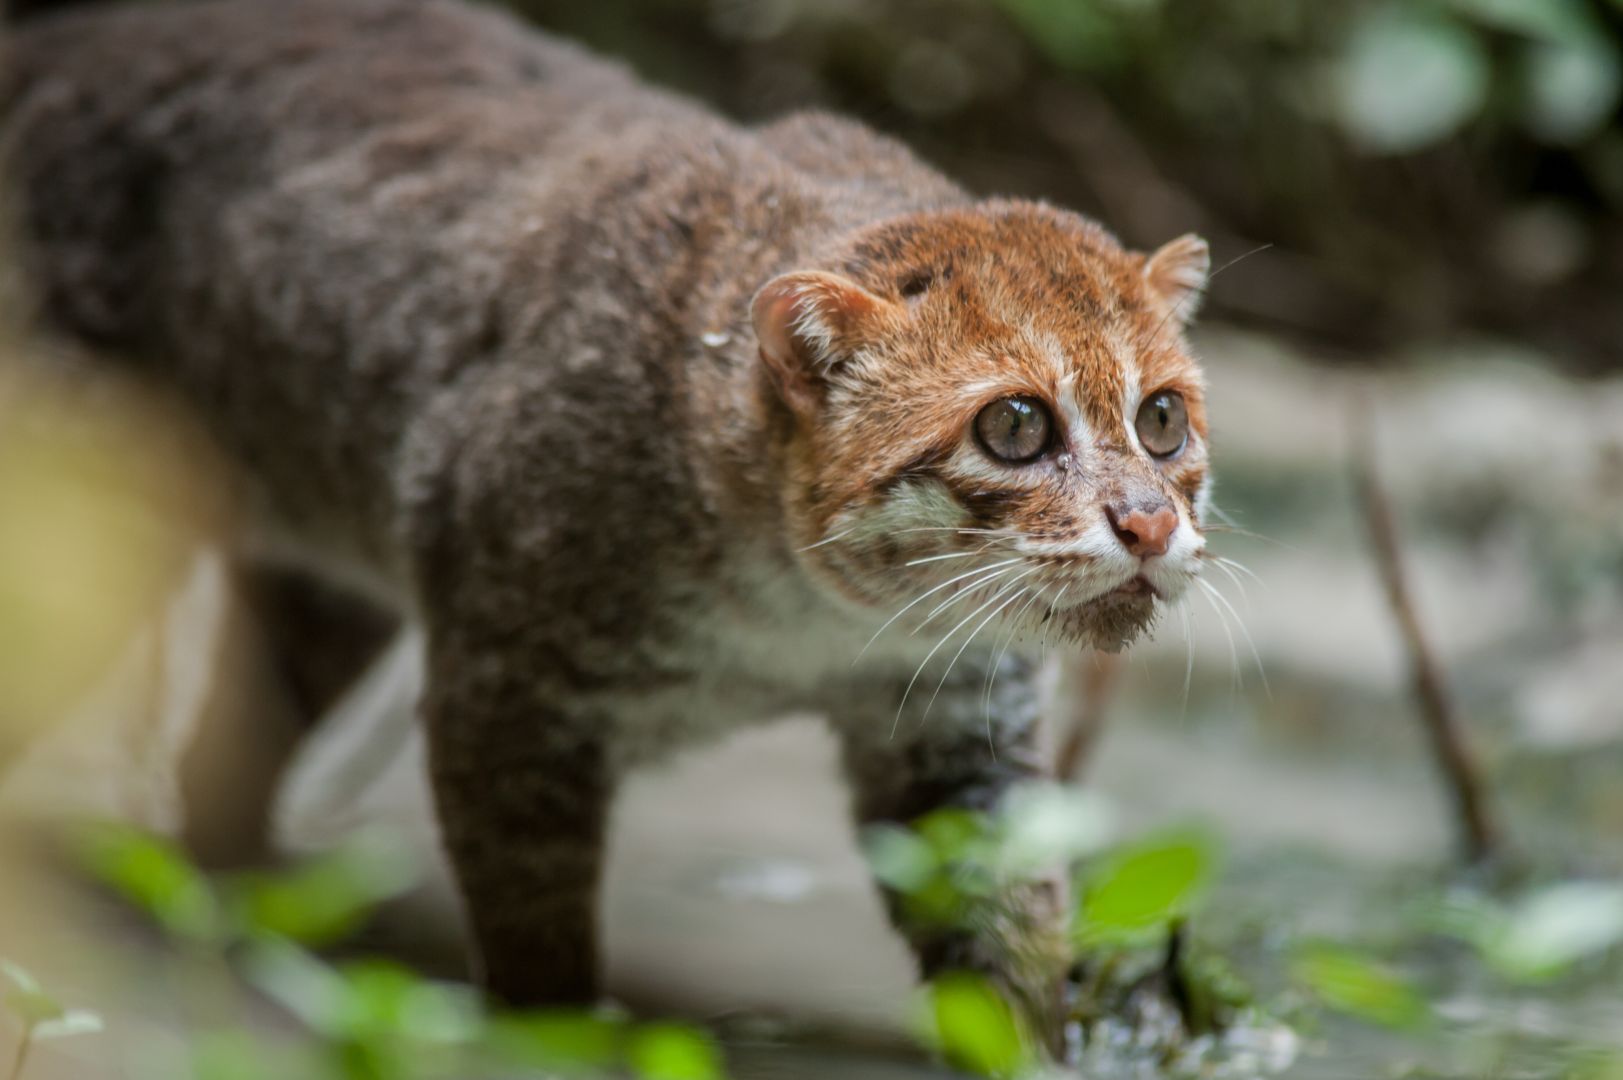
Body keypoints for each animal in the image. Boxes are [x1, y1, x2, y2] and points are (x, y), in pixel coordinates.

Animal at [3, 0, 1220, 1019]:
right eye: (1014, 426)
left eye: (1162, 419)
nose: (1150, 523)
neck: (804, 622)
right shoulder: (509, 698)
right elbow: (539, 958)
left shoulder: (960, 732)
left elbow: (1009, 947)